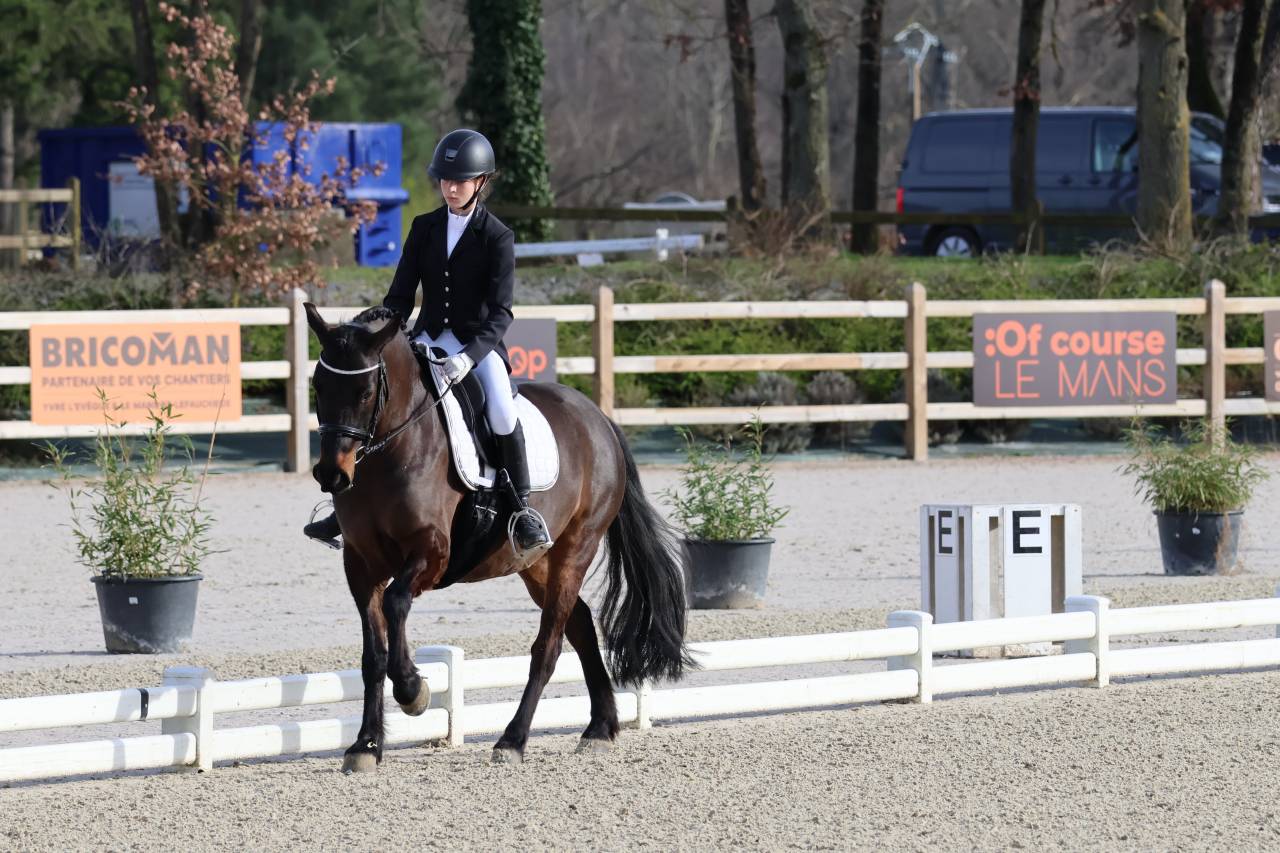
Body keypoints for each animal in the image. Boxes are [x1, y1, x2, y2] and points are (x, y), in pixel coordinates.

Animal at [303, 304, 692, 771]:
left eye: (364, 392)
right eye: (318, 386)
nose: (332, 474)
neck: (390, 453)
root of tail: (598, 418)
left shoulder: (432, 553)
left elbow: (397, 603)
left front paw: (413, 690)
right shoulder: (360, 565)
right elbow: (372, 655)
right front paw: (365, 745)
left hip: (576, 548)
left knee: (548, 646)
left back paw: (513, 739)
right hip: (534, 563)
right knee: (579, 623)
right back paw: (600, 728)